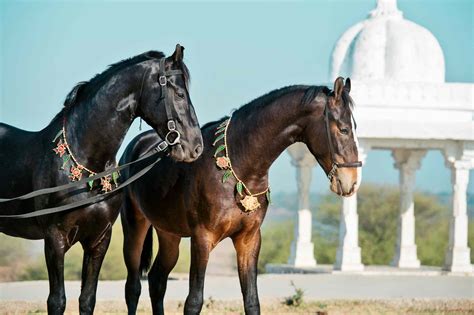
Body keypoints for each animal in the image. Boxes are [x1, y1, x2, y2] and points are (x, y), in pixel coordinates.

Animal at [0, 44, 202, 315]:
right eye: (179, 94)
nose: (196, 147)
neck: (86, 169)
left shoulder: (99, 240)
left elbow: (87, 299)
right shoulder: (55, 239)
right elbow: (56, 301)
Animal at [120, 77, 362, 315]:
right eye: (343, 129)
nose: (351, 181)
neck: (239, 164)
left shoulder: (249, 239)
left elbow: (252, 301)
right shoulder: (202, 238)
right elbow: (194, 302)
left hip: (169, 234)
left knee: (157, 280)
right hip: (134, 228)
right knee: (133, 286)